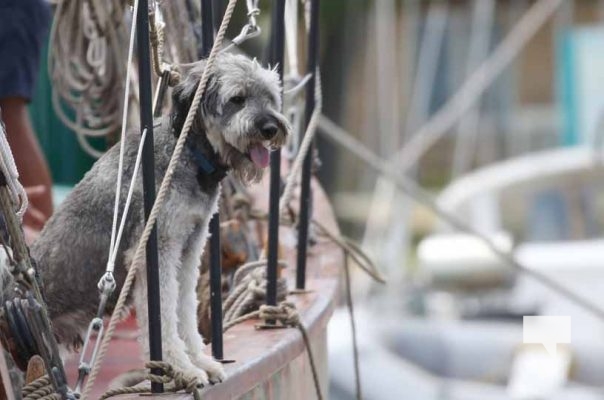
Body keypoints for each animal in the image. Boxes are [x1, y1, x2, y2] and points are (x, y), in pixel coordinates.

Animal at [21, 53, 290, 384]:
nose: (270, 127)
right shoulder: (157, 251)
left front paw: (200, 360)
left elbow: (184, 308)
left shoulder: (188, 249)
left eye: (270, 97)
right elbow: (162, 315)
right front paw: (181, 368)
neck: (186, 152)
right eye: (237, 99)